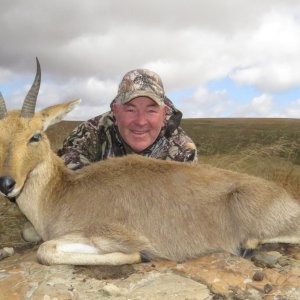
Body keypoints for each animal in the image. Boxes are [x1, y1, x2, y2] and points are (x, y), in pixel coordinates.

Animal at [0, 59, 300, 266]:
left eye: (35, 135)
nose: (7, 183)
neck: (61, 193)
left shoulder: (108, 235)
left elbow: (46, 250)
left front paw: (139, 255)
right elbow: (35, 240)